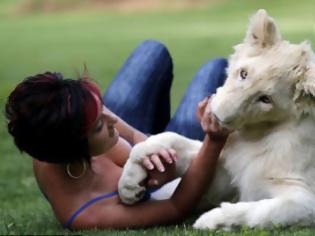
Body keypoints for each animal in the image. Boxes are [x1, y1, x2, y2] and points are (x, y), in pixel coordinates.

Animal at [118, 8, 315, 229]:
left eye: (266, 99)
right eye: (243, 73)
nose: (217, 114)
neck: (255, 135)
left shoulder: (304, 198)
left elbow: (264, 211)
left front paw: (211, 220)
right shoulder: (223, 170)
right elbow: (172, 139)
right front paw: (130, 181)